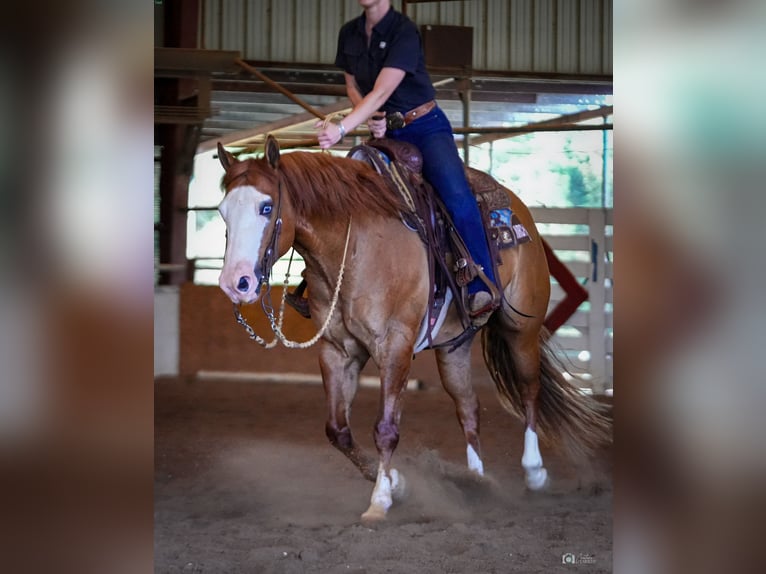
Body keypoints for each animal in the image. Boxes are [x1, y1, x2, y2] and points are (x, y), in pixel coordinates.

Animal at [216, 137, 612, 524]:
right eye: (222, 211)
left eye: (266, 207)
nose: (236, 283)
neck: (355, 245)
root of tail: (517, 208)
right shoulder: (337, 351)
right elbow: (338, 431)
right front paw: (398, 483)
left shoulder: (395, 346)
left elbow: (386, 428)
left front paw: (380, 500)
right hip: (454, 347)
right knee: (468, 407)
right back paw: (477, 481)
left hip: (521, 329)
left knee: (529, 389)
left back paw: (534, 472)